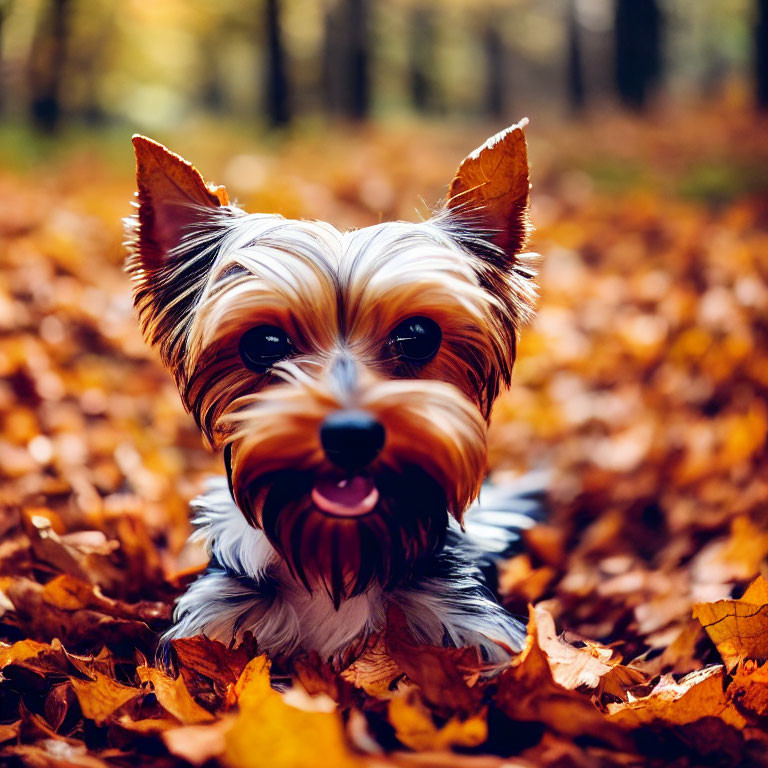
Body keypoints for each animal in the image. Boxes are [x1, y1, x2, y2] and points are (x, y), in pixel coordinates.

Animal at [124, 120, 540, 664]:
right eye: (264, 343)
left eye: (418, 335)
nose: (352, 434)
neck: (340, 557)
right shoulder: (211, 631)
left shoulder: (474, 635)